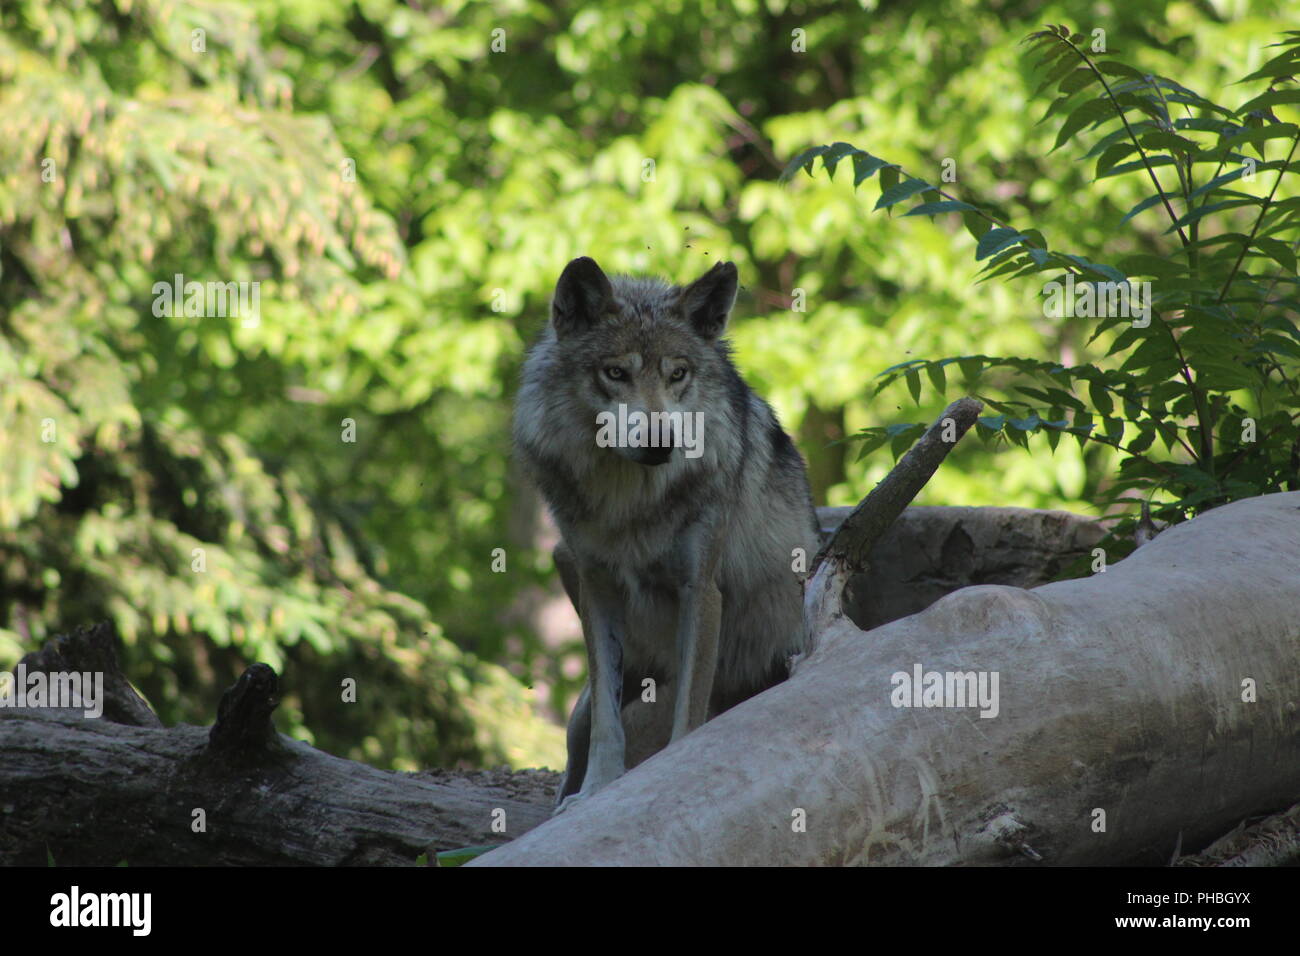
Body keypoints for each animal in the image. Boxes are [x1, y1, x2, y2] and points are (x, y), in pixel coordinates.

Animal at [512, 254, 816, 806]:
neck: (628, 501)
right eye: (616, 373)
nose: (660, 443)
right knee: (580, 737)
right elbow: (609, 724)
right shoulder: (598, 588)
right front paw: (597, 791)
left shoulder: (701, 589)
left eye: (678, 374)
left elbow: (689, 714)